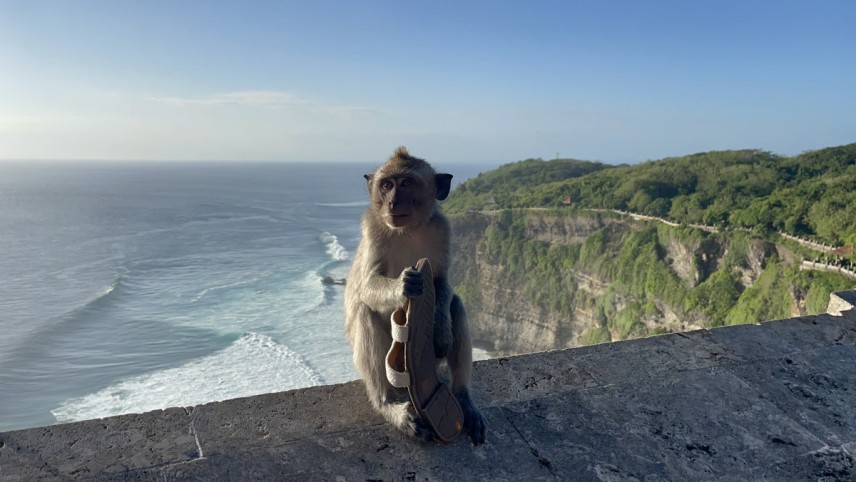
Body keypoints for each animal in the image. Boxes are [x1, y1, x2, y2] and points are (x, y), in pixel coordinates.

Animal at [344, 146, 484, 444]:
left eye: (406, 183)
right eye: (387, 185)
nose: (392, 203)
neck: (408, 230)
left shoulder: (442, 228)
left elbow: (441, 280)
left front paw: (440, 328)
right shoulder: (373, 228)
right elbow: (367, 285)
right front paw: (403, 286)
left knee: (456, 304)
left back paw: (461, 400)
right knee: (365, 311)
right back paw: (389, 406)